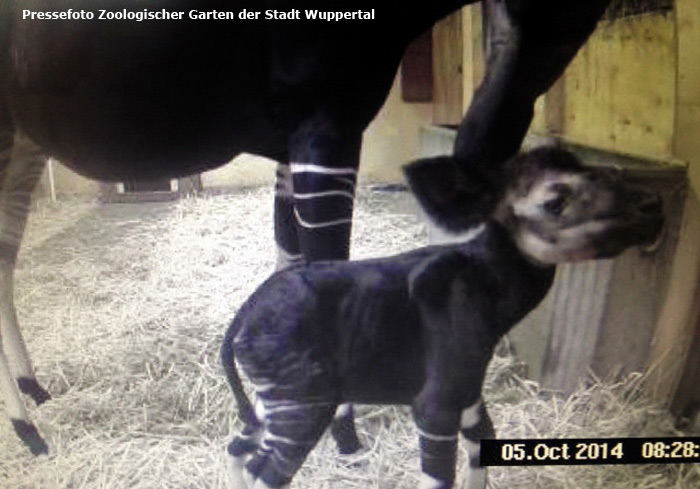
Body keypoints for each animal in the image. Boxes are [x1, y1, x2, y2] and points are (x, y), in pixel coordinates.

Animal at [221, 147, 664, 488]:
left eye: (613, 173)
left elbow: (480, 456)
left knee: (240, 447)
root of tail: (243, 317)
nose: (653, 206)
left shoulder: (468, 397)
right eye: (555, 202)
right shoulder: (435, 407)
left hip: (274, 400)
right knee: (266, 472)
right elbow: (440, 478)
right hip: (304, 404)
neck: (486, 285)